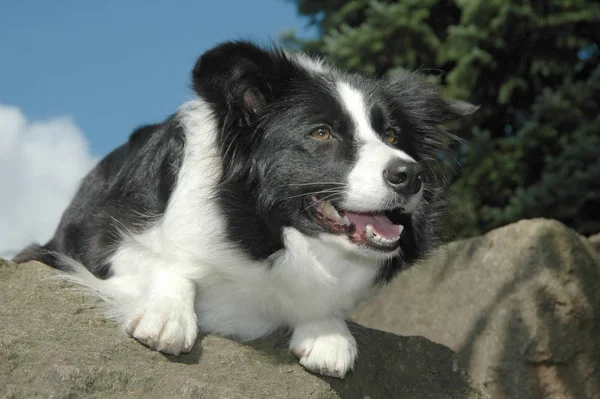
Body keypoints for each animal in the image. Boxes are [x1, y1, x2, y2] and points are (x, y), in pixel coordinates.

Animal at [14, 42, 478, 380]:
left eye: (393, 135)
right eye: (322, 133)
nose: (411, 174)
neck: (269, 234)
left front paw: (328, 332)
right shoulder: (99, 239)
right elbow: (164, 262)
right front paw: (167, 315)